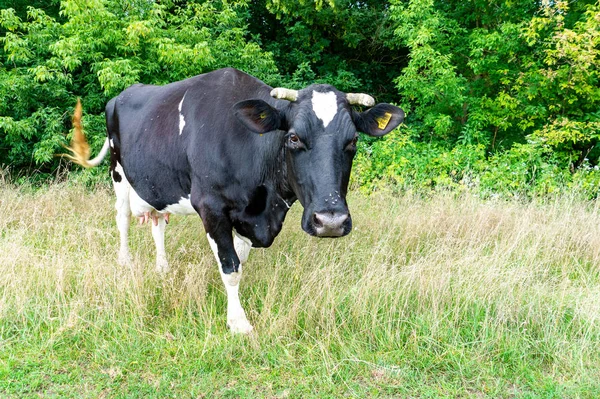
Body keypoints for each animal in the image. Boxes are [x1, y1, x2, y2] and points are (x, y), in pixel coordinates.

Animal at [64, 67, 404, 332]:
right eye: (293, 137)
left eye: (353, 140)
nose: (331, 220)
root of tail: (123, 94)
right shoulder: (211, 207)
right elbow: (230, 268)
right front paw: (238, 322)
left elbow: (240, 261)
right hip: (119, 174)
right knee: (121, 219)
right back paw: (125, 262)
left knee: (158, 223)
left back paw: (162, 268)